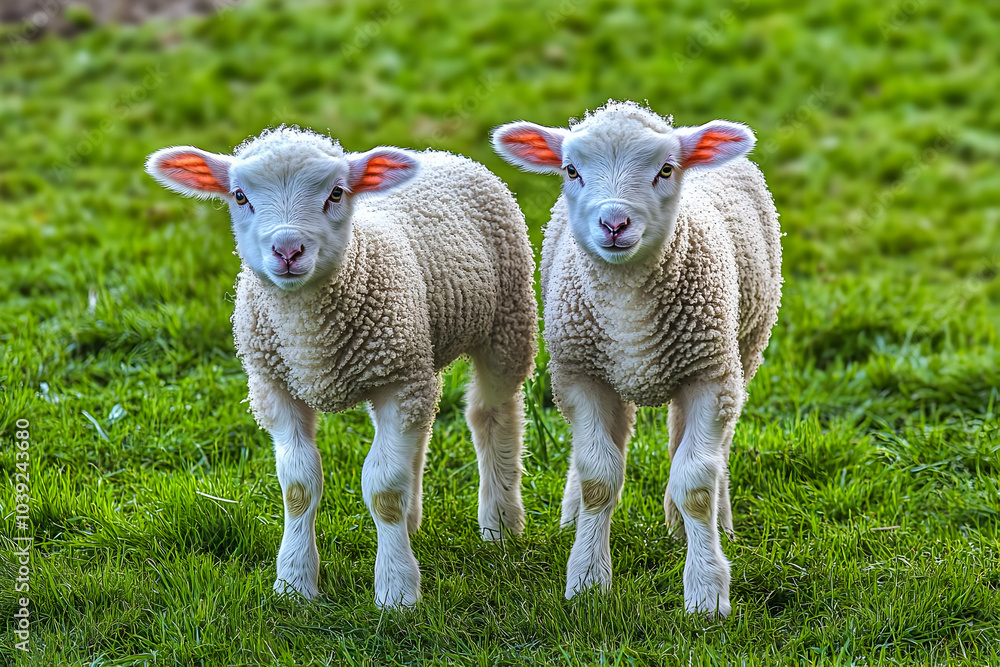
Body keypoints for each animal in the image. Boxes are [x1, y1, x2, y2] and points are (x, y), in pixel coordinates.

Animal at [145, 126, 538, 608]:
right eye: (239, 196)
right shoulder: (276, 387)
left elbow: (383, 489)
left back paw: (500, 522)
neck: (308, 338)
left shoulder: (397, 382)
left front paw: (396, 591)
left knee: (492, 414)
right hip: (416, 353)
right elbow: (298, 487)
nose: (288, 249)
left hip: (507, 319)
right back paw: (413, 520)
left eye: (336, 192)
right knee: (422, 431)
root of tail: (440, 154)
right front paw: (294, 584)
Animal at [492, 100, 781, 616]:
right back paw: (574, 516)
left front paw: (706, 592)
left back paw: (703, 521)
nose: (614, 224)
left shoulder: (710, 376)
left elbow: (695, 483)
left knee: (706, 445)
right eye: (571, 170)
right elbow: (598, 477)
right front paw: (587, 580)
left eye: (666, 169)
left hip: (742, 351)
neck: (628, 300)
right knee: (609, 445)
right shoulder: (579, 376)